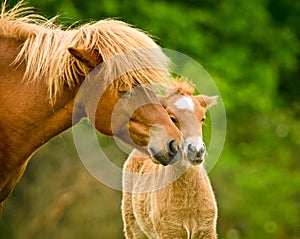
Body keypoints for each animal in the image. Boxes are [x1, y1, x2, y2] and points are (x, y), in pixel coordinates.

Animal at [121, 77, 218, 238]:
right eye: (172, 118)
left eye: (202, 118)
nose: (196, 150)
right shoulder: (169, 231)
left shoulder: (206, 230)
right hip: (132, 226)